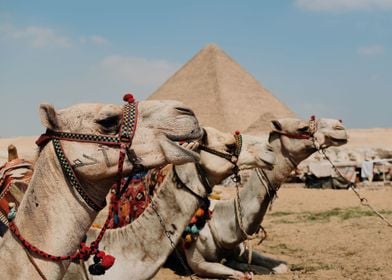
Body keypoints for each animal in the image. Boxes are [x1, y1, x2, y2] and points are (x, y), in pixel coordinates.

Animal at [185, 117, 348, 278]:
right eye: (303, 128)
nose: (339, 127)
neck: (220, 222)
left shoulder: (242, 250)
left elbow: (282, 266)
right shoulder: (198, 264)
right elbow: (240, 274)